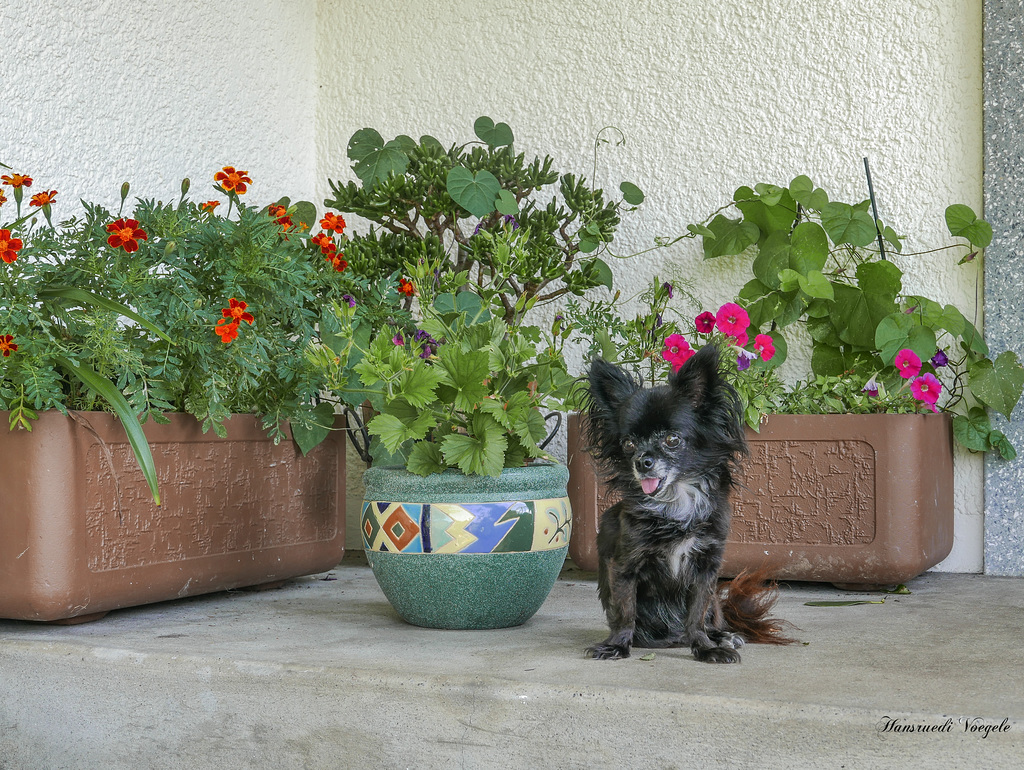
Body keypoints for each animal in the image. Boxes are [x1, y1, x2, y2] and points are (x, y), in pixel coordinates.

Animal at [585, 344, 790, 663]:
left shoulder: (705, 568)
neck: (675, 501)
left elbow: (696, 614)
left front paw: (705, 648)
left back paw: (723, 636)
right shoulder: (625, 566)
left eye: (672, 439)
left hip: (716, 603)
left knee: (712, 617)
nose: (641, 462)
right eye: (628, 444)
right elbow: (625, 612)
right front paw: (617, 645)